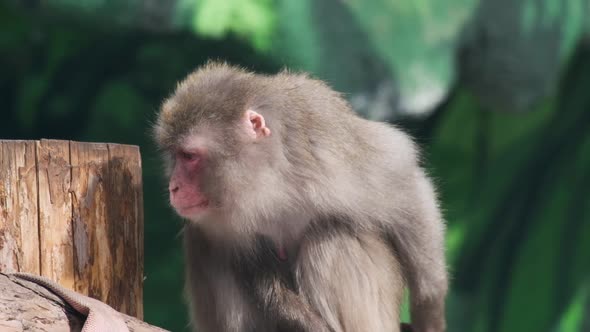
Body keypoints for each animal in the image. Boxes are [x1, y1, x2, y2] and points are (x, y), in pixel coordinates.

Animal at [153, 62, 448, 332]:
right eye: (174, 155)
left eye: (189, 156)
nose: (173, 186)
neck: (265, 182)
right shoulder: (219, 223)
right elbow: (248, 267)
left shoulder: (325, 150)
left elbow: (405, 180)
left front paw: (429, 316)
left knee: (333, 237)